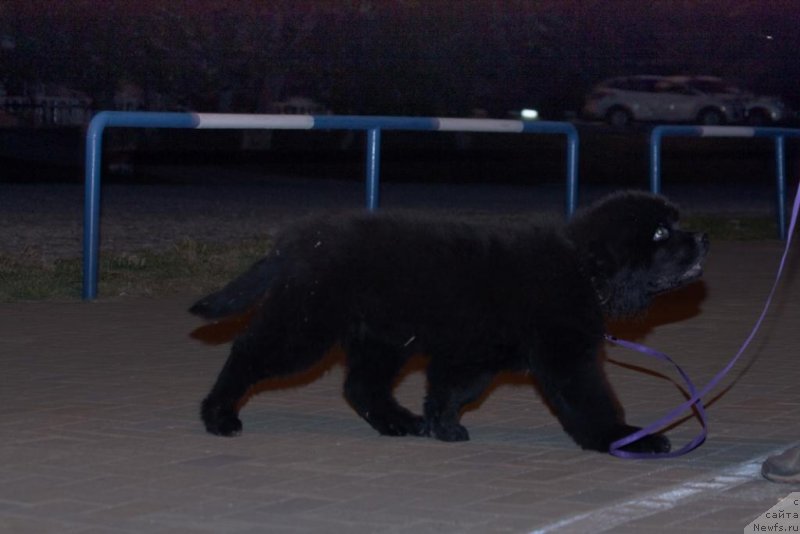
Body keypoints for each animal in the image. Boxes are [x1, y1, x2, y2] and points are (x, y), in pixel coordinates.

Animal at [191, 191, 708, 454]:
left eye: (675, 224)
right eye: (659, 234)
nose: (701, 238)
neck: (582, 268)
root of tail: (296, 241)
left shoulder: (474, 352)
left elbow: (453, 390)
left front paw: (442, 425)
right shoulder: (563, 355)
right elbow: (592, 401)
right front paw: (623, 439)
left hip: (383, 336)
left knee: (361, 385)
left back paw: (399, 422)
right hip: (308, 323)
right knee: (249, 351)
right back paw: (218, 416)